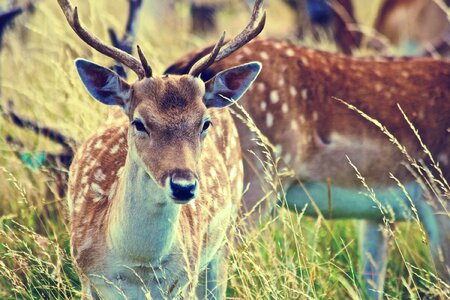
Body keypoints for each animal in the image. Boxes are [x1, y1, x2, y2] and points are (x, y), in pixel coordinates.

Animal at [58, 0, 266, 298]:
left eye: (205, 123)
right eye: (139, 122)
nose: (183, 186)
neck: (139, 267)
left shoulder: (184, 280)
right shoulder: (86, 278)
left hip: (223, 239)